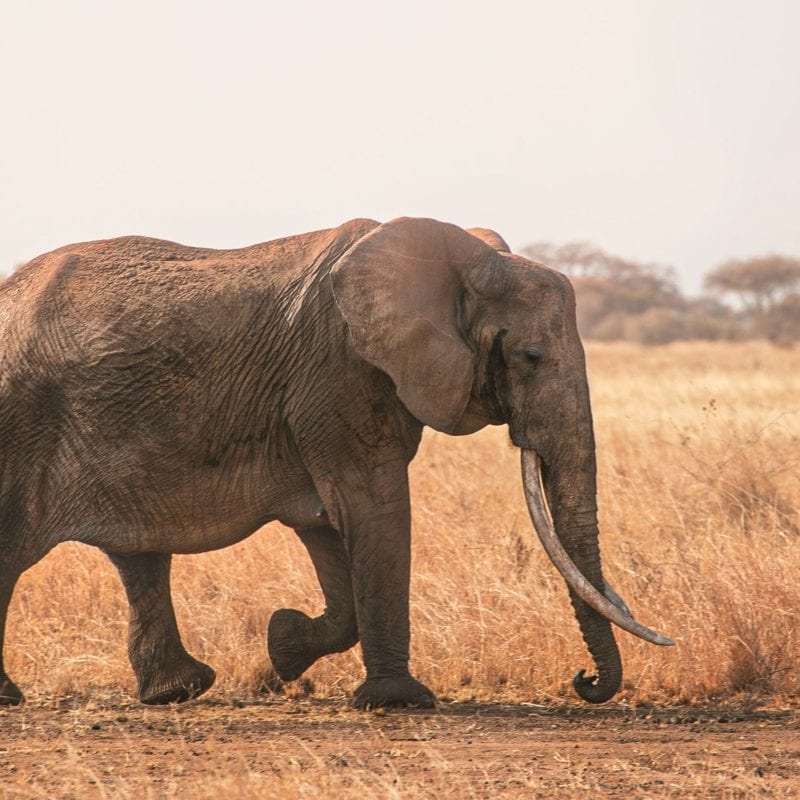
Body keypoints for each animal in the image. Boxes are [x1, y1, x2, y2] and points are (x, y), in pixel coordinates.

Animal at [0, 216, 672, 709]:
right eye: (531, 356)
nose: (583, 681)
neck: (452, 261)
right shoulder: (340, 374)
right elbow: (374, 509)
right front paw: (400, 701)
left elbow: (328, 522)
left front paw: (282, 643)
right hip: (20, 420)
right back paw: (14, 698)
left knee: (139, 557)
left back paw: (177, 691)